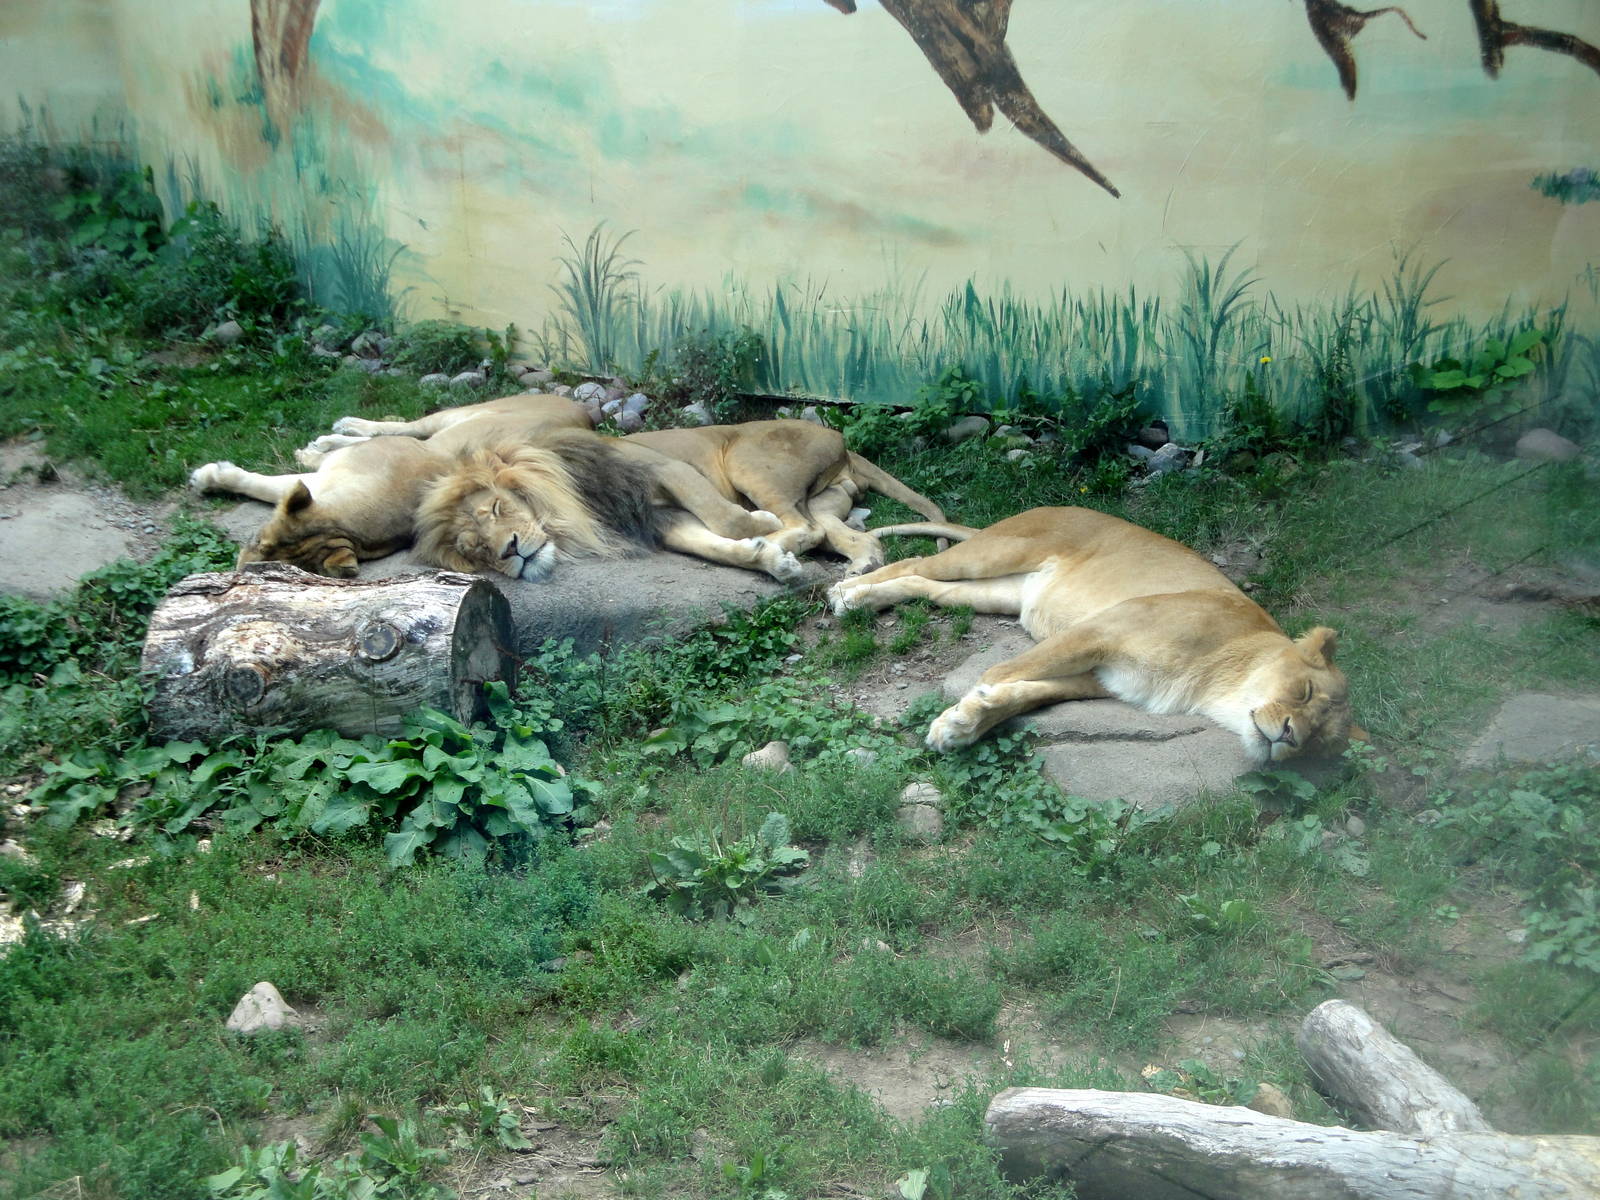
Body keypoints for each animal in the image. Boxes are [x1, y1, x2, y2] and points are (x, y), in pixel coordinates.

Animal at [190, 394, 593, 576]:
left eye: (255, 546)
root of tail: (585, 411)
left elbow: (263, 484)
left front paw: (210, 476)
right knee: (400, 428)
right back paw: (329, 437)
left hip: (451, 418)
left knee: (402, 427)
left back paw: (325, 440)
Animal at [828, 507, 1358, 763]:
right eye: (1303, 691)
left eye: (1320, 741)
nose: (1290, 738)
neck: (1210, 689)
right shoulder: (1102, 629)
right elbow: (997, 674)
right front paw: (960, 717)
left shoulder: (1102, 680)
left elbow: (1024, 694)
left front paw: (965, 724)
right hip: (992, 554)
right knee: (916, 561)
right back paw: (846, 590)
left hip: (999, 593)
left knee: (922, 583)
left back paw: (859, 600)